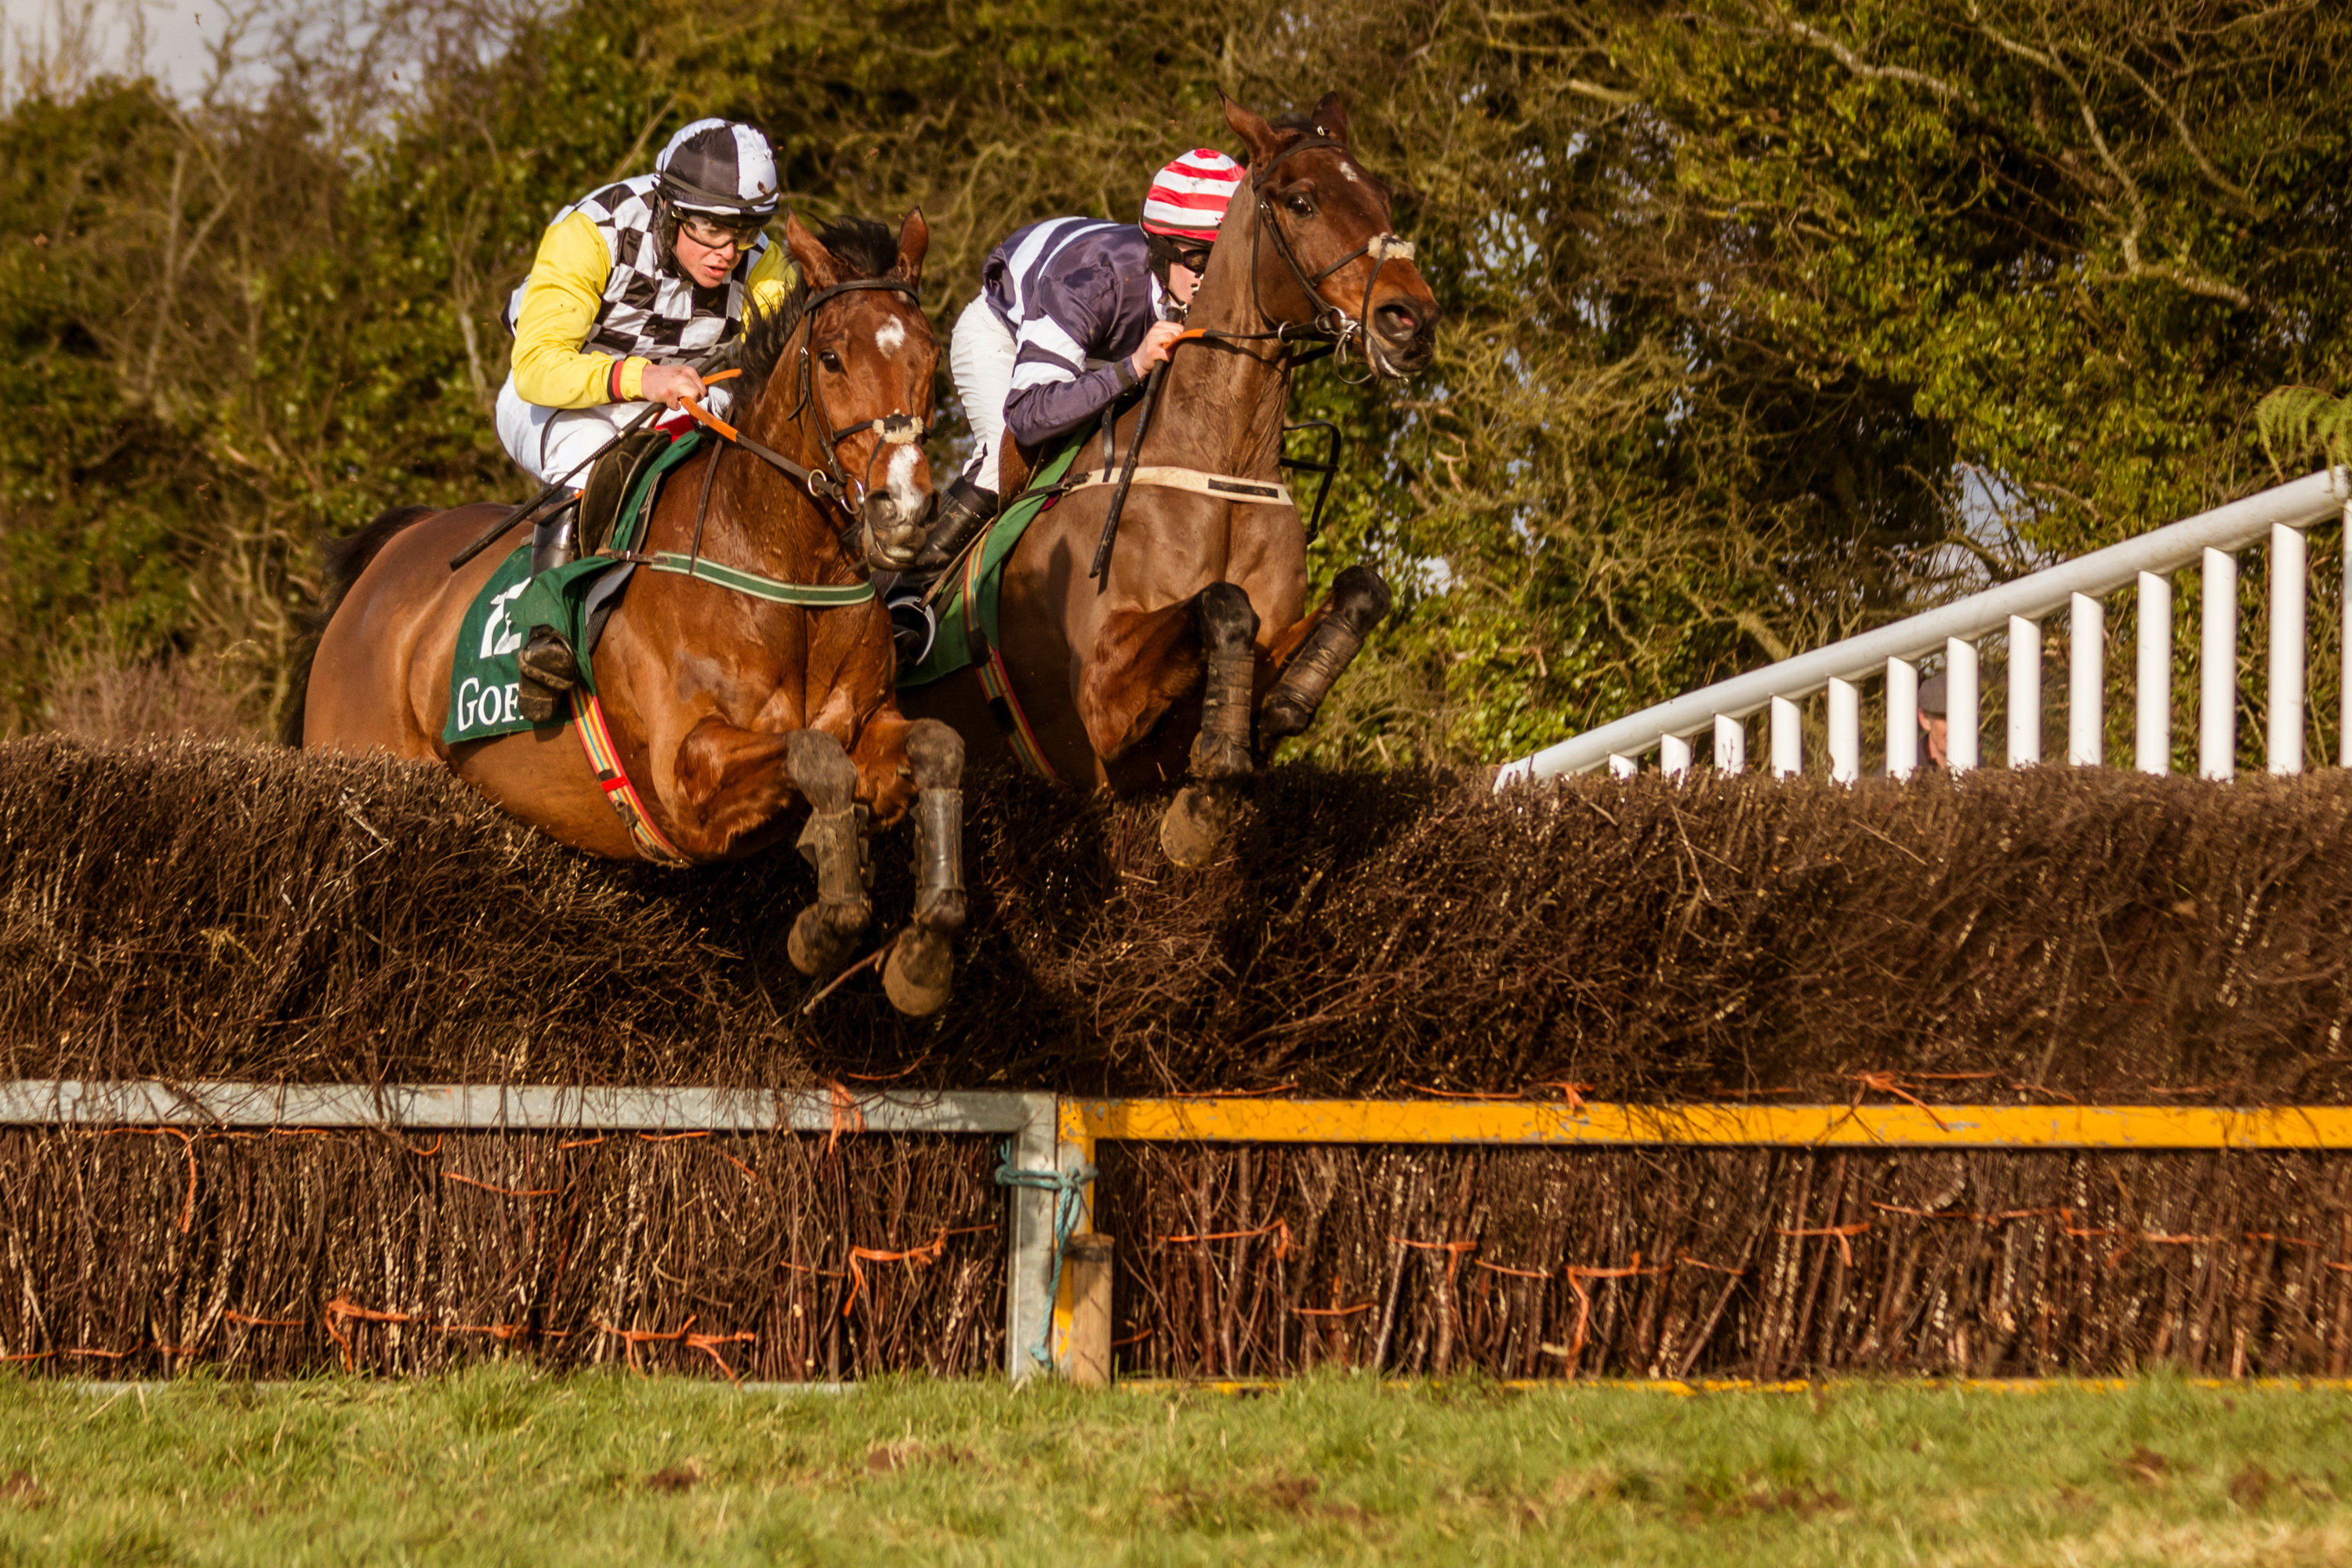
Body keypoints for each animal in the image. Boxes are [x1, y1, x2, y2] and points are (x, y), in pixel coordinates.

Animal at [289, 211, 969, 1020]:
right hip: (365, 758)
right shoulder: (687, 777)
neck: (781, 570)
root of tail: (386, 563)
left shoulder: (872, 725)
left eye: (931, 355)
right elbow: (817, 758)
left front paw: (924, 952)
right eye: (832, 357)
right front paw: (827, 925)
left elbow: (935, 747)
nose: (905, 509)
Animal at [903, 96, 1439, 865]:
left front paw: (1275, 712)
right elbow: (1221, 602)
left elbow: (1359, 592)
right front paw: (1209, 791)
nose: (1412, 319)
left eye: (1383, 198)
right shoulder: (1102, 704)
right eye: (1301, 201)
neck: (1219, 457)